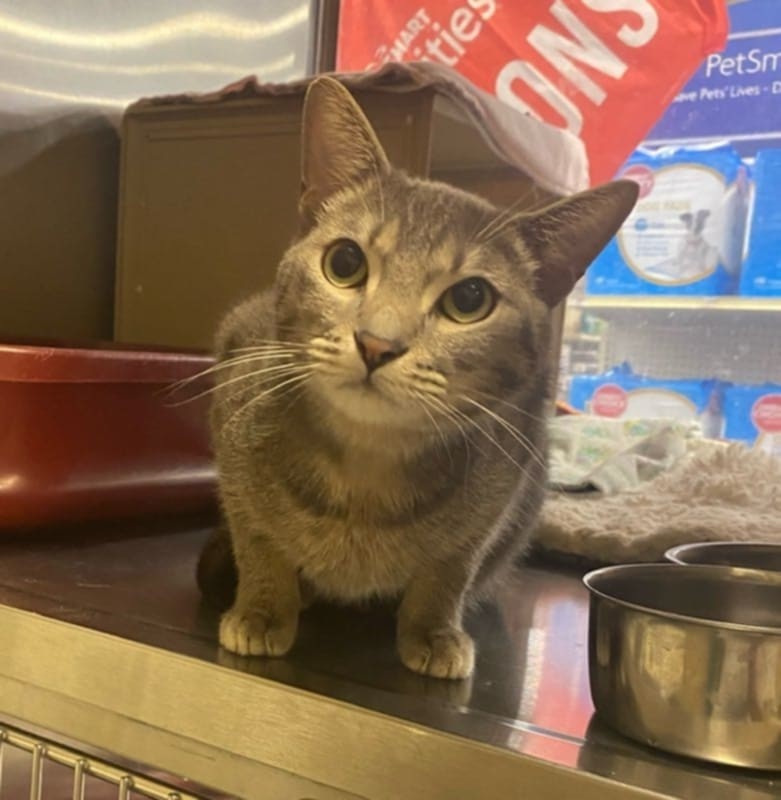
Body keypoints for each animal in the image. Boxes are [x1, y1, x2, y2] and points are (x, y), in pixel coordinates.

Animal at [195, 75, 632, 680]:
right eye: (345, 262)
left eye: (469, 299)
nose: (377, 344)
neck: (365, 467)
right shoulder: (235, 414)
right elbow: (258, 537)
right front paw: (262, 609)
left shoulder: (502, 485)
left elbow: (449, 567)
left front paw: (433, 629)